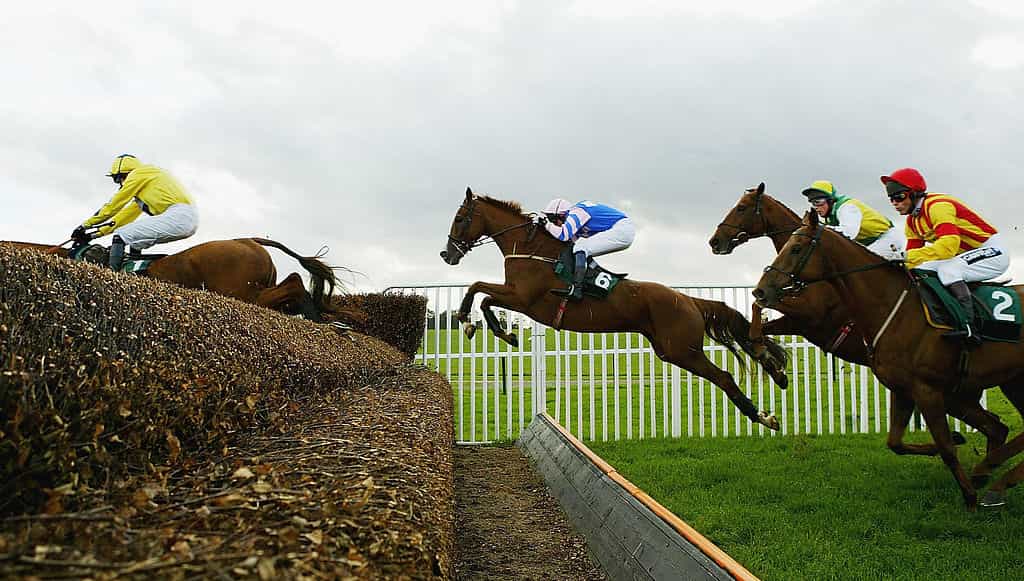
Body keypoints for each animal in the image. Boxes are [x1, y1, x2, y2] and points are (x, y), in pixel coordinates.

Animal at [440, 187, 791, 431]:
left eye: (459, 218)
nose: (447, 254)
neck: (531, 249)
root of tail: (690, 300)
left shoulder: (523, 298)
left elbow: (479, 290)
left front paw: (473, 323)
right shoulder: (517, 297)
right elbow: (482, 294)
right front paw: (496, 331)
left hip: (683, 350)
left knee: (725, 377)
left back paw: (762, 416)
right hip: (670, 351)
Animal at [709, 183, 1009, 457]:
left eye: (742, 208)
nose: (715, 241)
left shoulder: (811, 314)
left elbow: (757, 309)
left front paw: (772, 362)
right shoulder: (801, 323)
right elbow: (754, 328)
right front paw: (775, 369)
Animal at [754, 210, 1024, 509]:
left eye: (797, 248)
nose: (760, 291)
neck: (895, 308)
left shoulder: (927, 390)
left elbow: (946, 448)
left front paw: (970, 497)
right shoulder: (903, 389)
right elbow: (896, 442)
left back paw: (990, 475)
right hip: (1001, 384)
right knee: (996, 427)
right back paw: (990, 474)